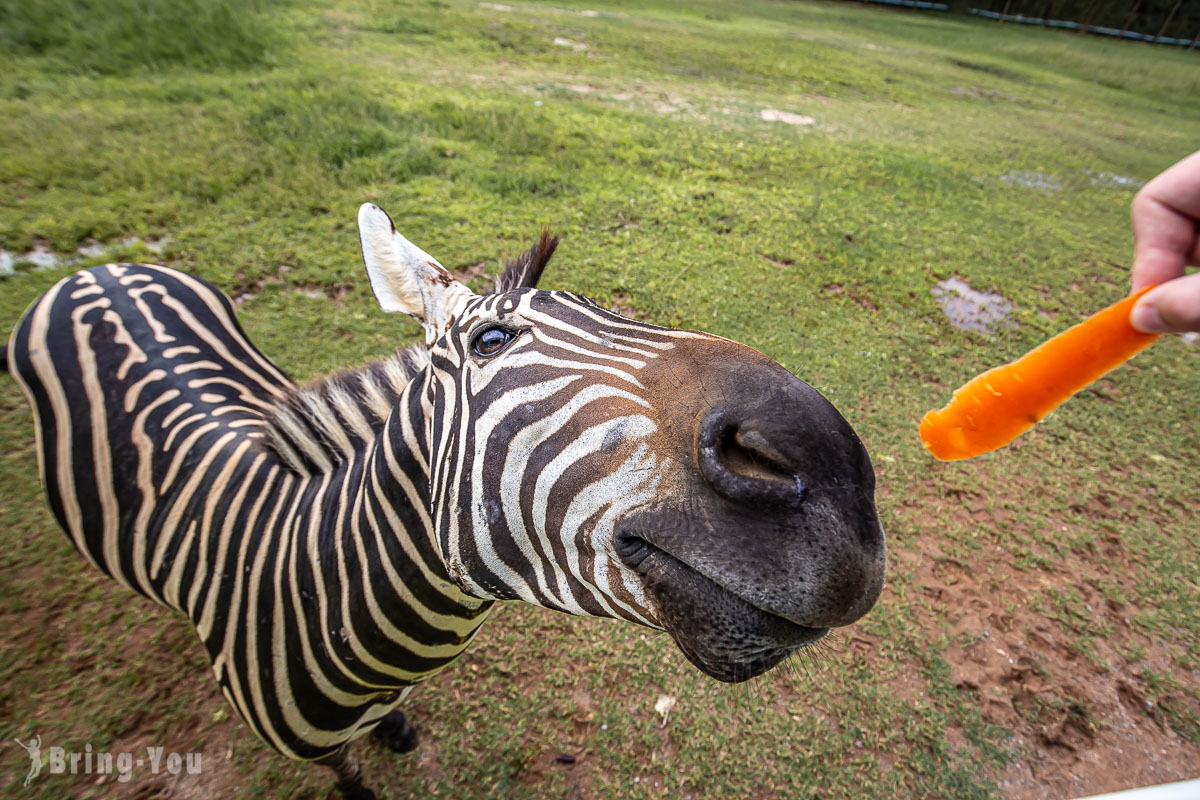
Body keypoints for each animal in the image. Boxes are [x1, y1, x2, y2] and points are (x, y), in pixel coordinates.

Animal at [0, 203, 883, 796]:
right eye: (490, 340)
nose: (840, 481)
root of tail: (102, 267)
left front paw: (396, 726)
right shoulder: (316, 745)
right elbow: (348, 775)